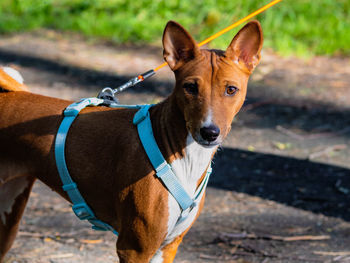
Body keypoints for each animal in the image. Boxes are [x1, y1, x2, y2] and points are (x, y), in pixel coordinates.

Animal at [0, 19, 262, 262]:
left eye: (231, 90)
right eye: (190, 87)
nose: (209, 132)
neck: (184, 158)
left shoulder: (168, 246)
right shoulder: (134, 249)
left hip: (9, 218)